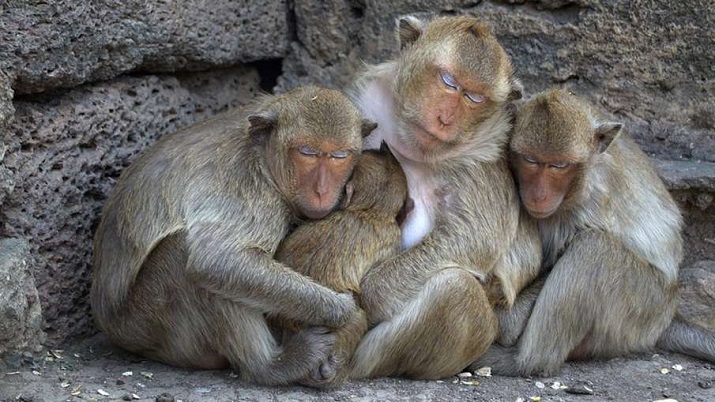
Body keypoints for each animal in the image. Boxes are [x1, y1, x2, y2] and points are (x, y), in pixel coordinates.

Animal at [90, 86, 379, 387]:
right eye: (307, 153)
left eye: (340, 156)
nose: (322, 191)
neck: (263, 157)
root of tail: (111, 327)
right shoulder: (249, 187)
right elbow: (218, 260)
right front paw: (345, 312)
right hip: (148, 323)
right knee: (184, 254)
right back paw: (270, 366)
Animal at [345, 14, 542, 380]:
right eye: (449, 82)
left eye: (475, 98)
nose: (445, 119)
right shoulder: (367, 104)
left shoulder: (480, 162)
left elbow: (474, 237)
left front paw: (372, 295)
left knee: (457, 289)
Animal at [470, 88, 715, 377]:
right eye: (530, 160)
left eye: (558, 166)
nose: (539, 195)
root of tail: (667, 316)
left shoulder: (586, 207)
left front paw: (507, 321)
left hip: (641, 309)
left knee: (593, 248)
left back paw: (524, 361)